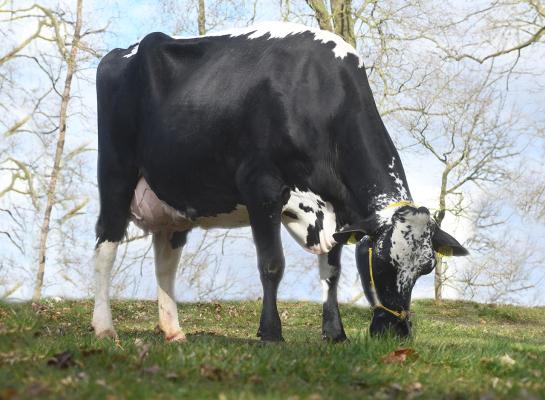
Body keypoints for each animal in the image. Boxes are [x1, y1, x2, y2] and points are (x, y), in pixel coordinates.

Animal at [91, 20, 466, 342]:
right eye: (382, 260)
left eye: (427, 268)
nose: (396, 333)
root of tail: (124, 51)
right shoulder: (262, 187)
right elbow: (272, 264)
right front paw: (271, 333)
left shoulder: (341, 210)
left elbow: (331, 272)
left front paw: (335, 333)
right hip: (116, 173)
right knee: (106, 245)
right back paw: (104, 328)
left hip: (174, 198)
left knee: (166, 260)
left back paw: (173, 331)